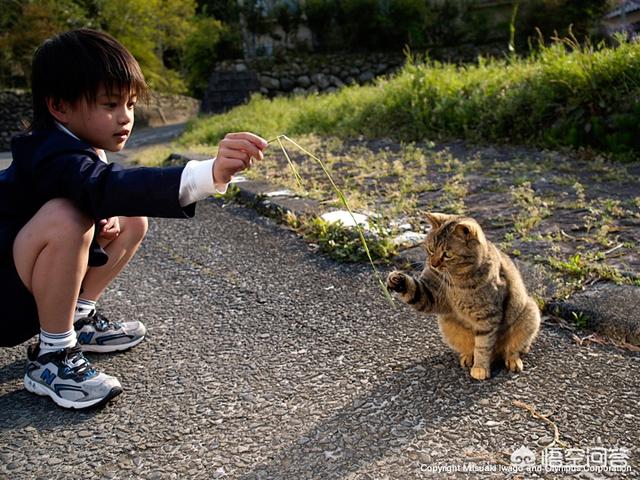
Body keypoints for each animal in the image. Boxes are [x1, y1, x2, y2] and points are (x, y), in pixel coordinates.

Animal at [388, 212, 536, 380]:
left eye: (447, 254)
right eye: (431, 249)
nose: (433, 264)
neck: (457, 281)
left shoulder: (488, 317)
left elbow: (483, 345)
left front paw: (480, 368)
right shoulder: (429, 293)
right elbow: (414, 290)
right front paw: (397, 279)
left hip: (530, 314)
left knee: (513, 349)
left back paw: (513, 361)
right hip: (446, 323)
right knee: (470, 347)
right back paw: (467, 357)